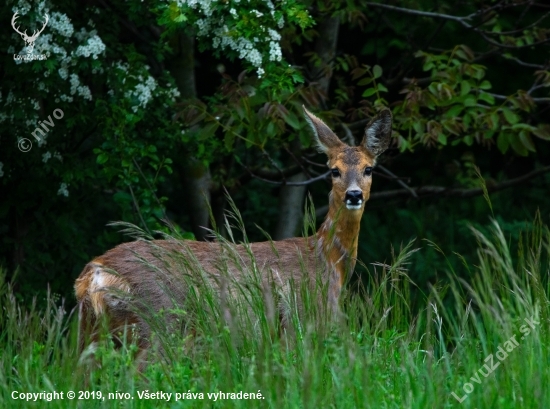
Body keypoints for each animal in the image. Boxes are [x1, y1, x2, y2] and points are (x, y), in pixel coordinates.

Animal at [75, 107, 394, 352]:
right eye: (334, 170)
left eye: (368, 169)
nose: (354, 195)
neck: (328, 259)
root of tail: (94, 273)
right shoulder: (303, 317)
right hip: (157, 321)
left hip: (92, 331)